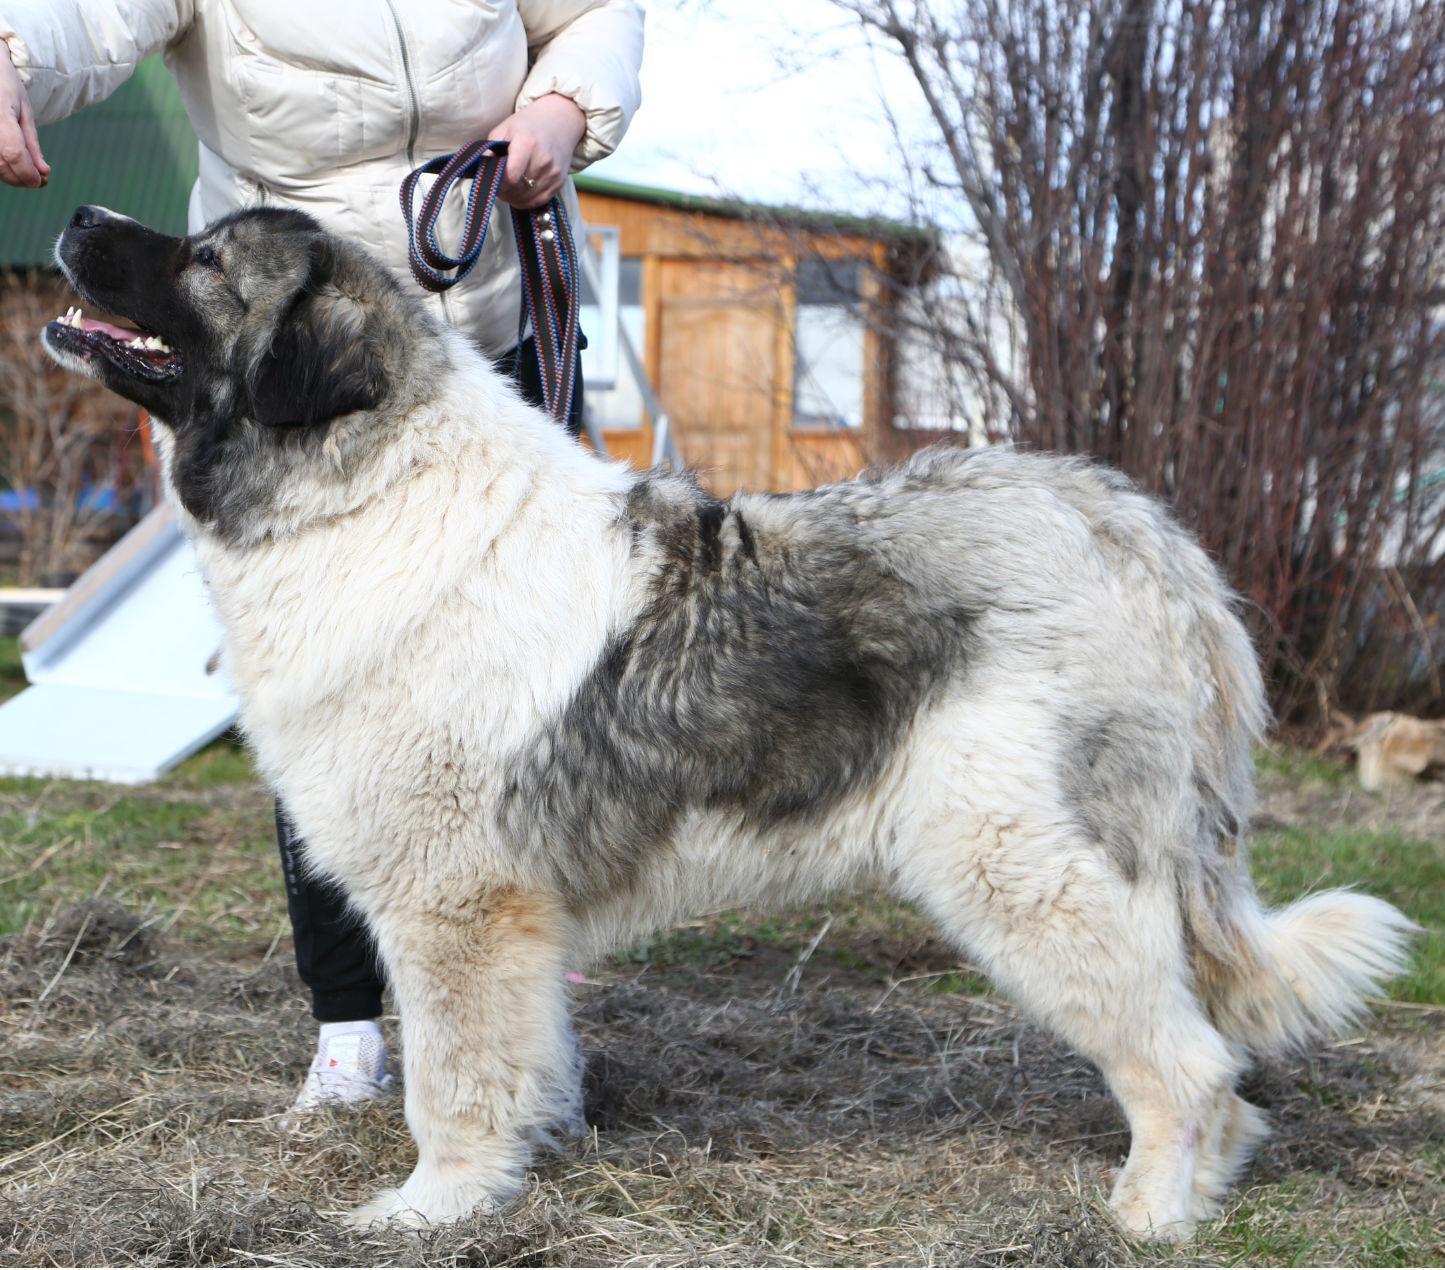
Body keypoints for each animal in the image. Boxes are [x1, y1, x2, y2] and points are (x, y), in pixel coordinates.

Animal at [42, 206, 1410, 1242]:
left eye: (207, 260)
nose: (77, 217)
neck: (360, 486)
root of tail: (1132, 529)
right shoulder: (508, 924)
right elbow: (523, 1057)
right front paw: (528, 1156)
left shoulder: (454, 909)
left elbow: (452, 1077)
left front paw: (434, 1206)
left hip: (1021, 868)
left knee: (1189, 1068)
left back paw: (1145, 1216)